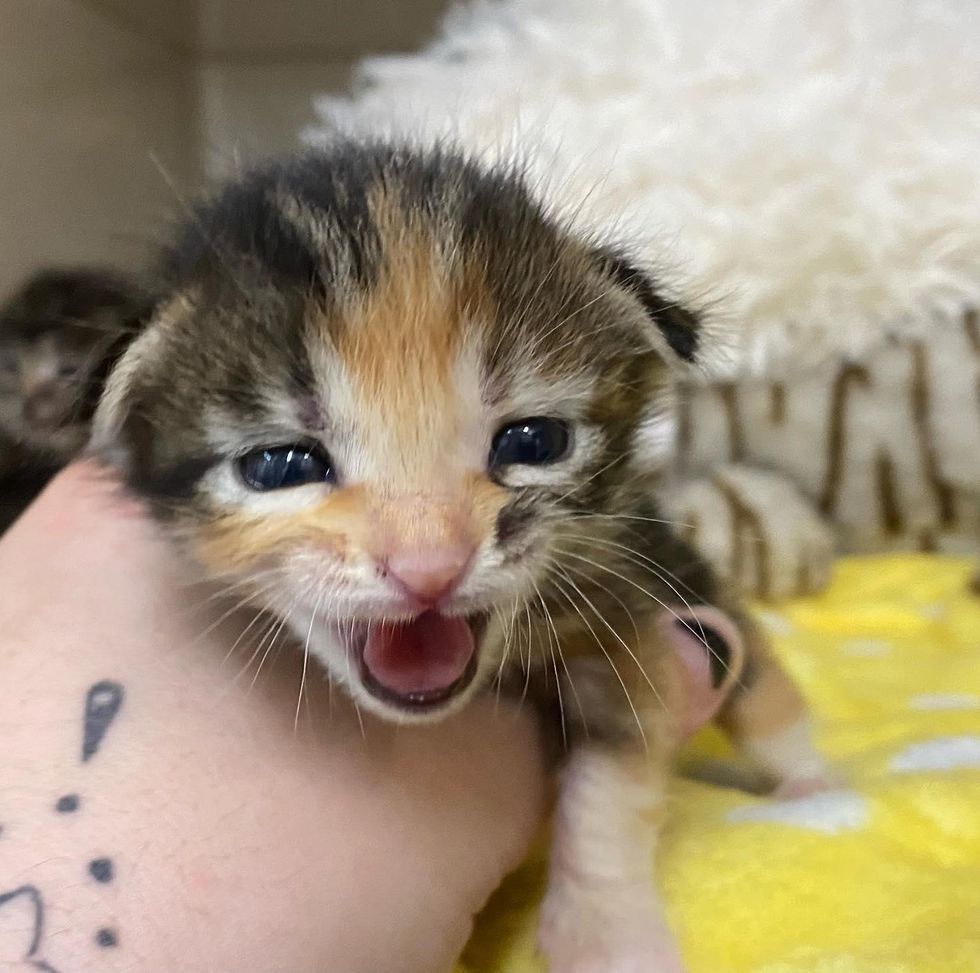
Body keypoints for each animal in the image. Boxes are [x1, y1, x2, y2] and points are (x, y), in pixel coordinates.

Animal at [92, 144, 832, 972]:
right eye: (280, 464)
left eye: (533, 442)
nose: (429, 567)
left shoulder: (621, 598)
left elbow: (615, 774)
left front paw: (608, 932)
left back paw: (813, 783)